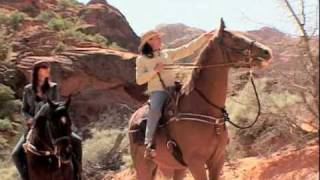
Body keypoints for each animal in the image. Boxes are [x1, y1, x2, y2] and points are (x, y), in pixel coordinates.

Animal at [129, 19, 272, 179]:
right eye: (236, 39)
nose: (267, 51)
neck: (203, 109)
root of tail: (132, 119)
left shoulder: (217, 159)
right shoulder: (195, 162)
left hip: (177, 167)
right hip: (144, 167)